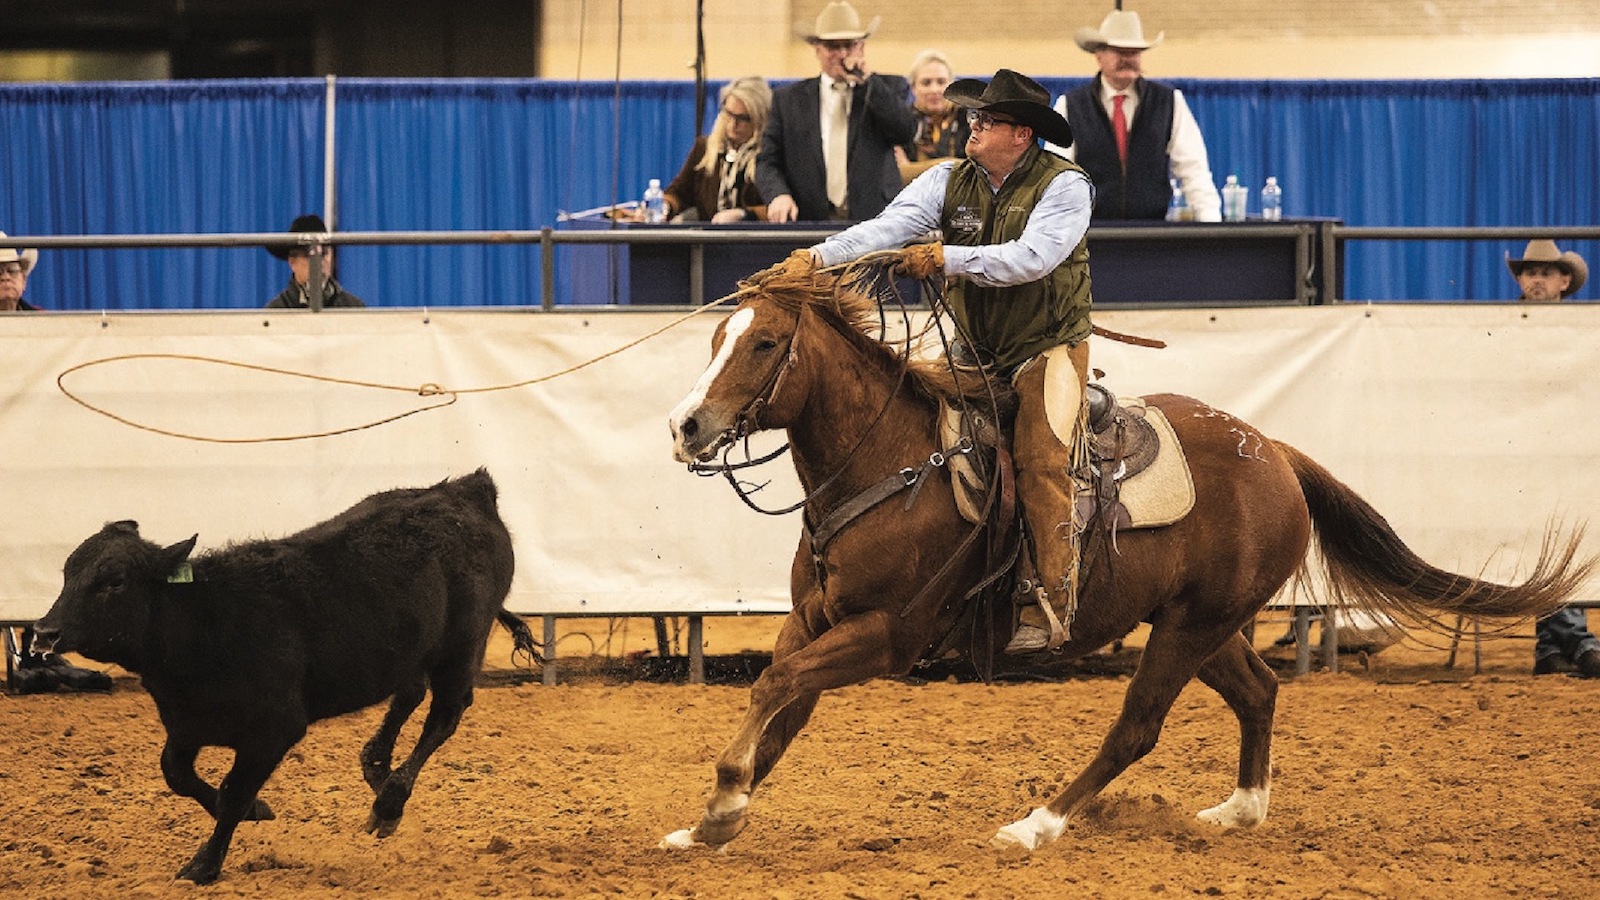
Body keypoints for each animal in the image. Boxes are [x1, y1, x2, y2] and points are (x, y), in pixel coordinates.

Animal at [663, 261, 1593, 851]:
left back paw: (1038, 824)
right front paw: (713, 817)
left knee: (1137, 727)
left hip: (1190, 628)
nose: (687, 426)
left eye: (762, 344)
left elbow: (777, 688)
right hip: (1201, 621)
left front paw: (725, 796)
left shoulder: (886, 635)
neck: (892, 462)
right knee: (1258, 692)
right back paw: (1237, 812)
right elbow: (783, 702)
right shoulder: (813, 620)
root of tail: (1278, 452)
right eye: (714, 340)